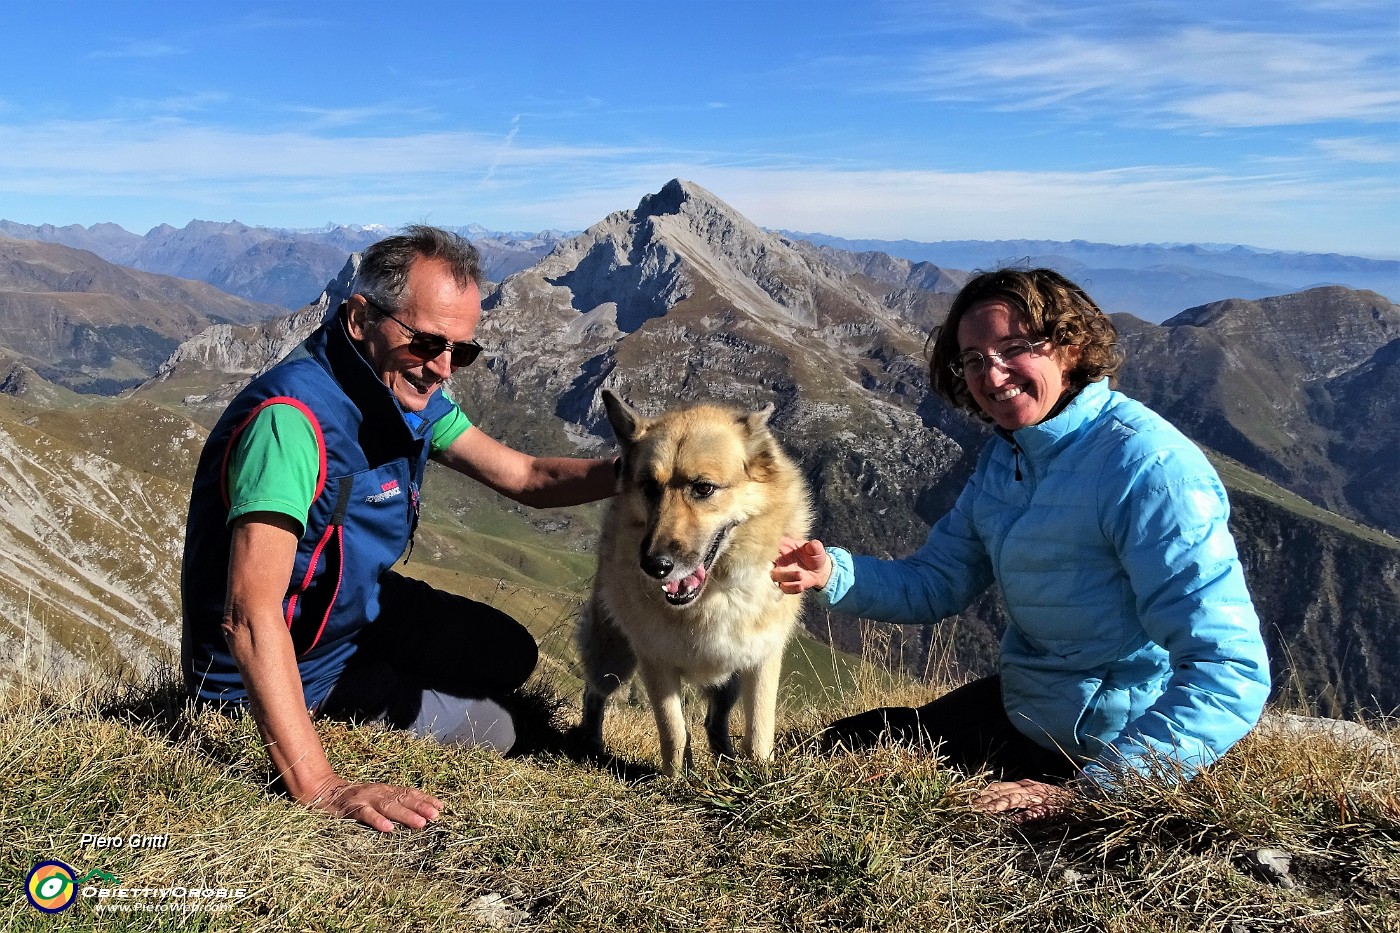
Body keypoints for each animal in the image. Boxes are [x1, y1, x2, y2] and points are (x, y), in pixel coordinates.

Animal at [576, 389, 817, 773]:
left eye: (704, 488)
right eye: (649, 487)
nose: (654, 565)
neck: (712, 595)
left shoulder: (762, 658)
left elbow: (759, 730)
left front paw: (761, 775)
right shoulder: (655, 662)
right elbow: (673, 730)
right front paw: (677, 779)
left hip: (728, 677)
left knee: (715, 720)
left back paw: (728, 762)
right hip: (611, 656)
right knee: (594, 691)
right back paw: (591, 744)